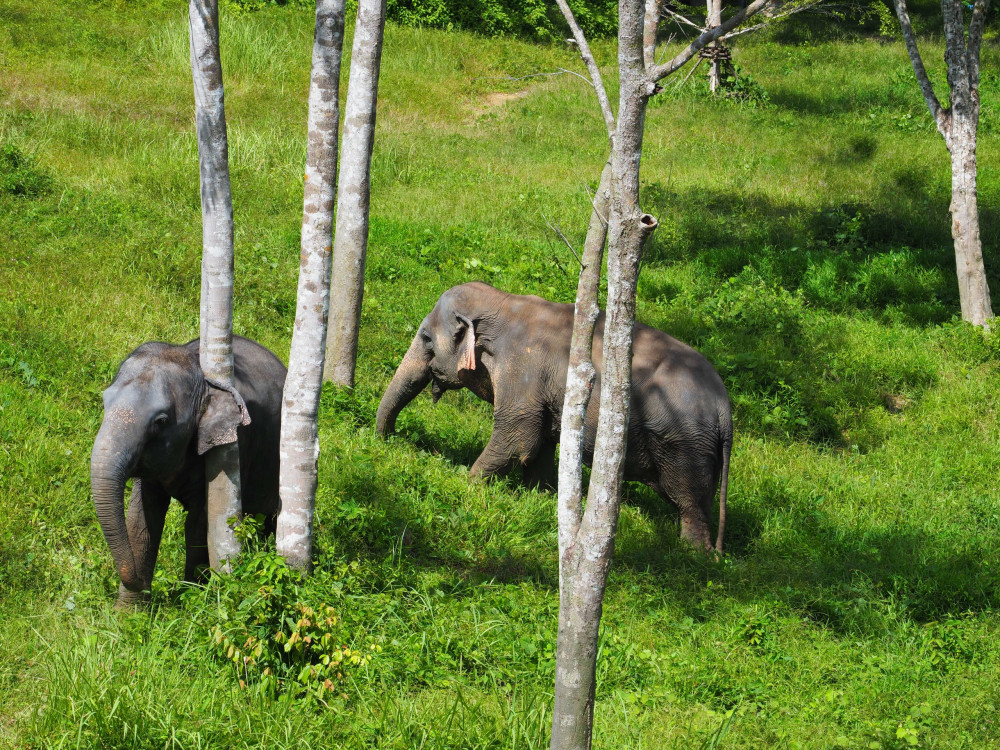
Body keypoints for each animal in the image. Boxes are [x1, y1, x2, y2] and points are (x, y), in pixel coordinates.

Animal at [91, 335, 286, 607]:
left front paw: (191, 599)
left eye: (161, 421)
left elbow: (198, 523)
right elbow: (141, 518)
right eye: (104, 402)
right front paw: (128, 613)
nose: (143, 584)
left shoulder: (237, 442)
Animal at [376, 282, 733, 552]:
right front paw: (539, 498)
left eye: (426, 339)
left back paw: (691, 553)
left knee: (687, 501)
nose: (386, 441)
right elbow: (539, 445)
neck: (502, 301)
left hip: (684, 443)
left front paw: (467, 484)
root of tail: (725, 408)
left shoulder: (522, 372)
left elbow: (516, 439)